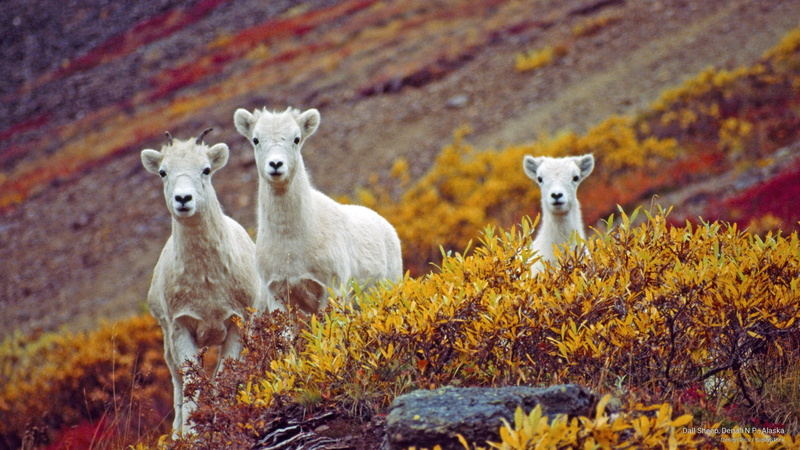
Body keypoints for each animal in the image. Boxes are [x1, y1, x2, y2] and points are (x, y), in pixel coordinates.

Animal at [140, 129, 258, 437]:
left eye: (206, 170)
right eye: (163, 172)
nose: (183, 199)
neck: (207, 281)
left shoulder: (236, 325)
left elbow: (223, 378)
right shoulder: (180, 328)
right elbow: (191, 387)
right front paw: (191, 436)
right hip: (168, 343)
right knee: (178, 384)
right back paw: (176, 433)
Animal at [233, 107, 403, 315]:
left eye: (296, 139)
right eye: (256, 139)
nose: (276, 165)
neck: (291, 245)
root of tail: (387, 225)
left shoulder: (331, 288)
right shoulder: (276, 294)